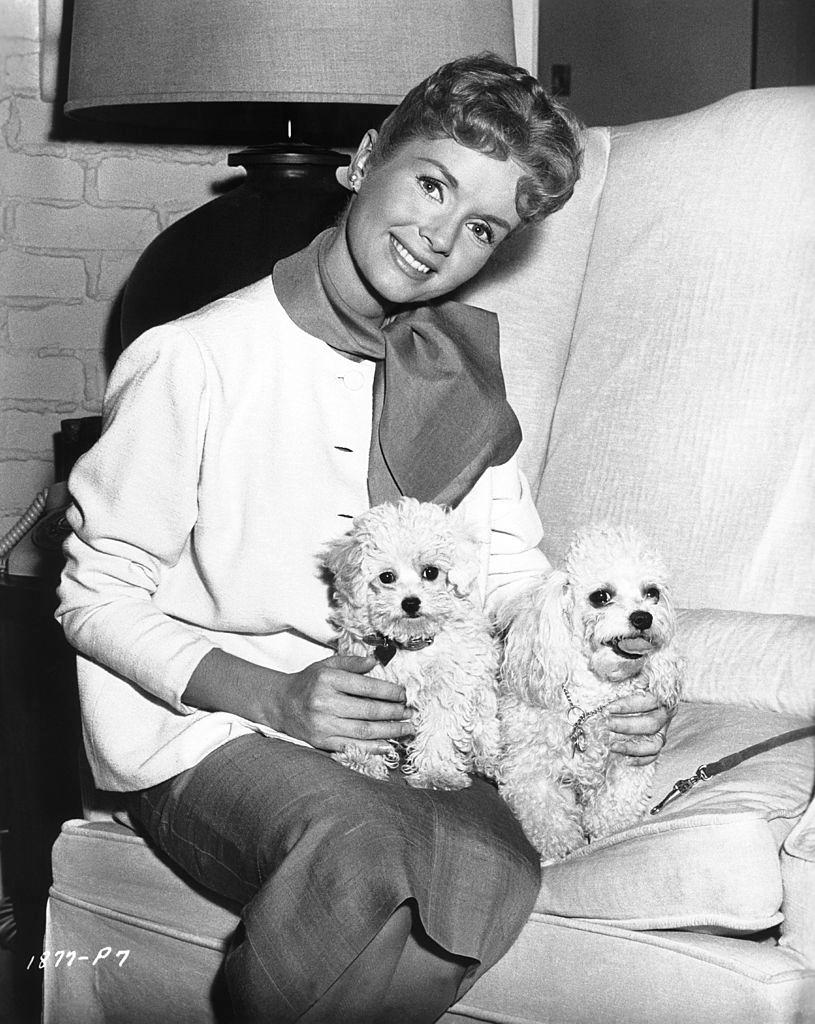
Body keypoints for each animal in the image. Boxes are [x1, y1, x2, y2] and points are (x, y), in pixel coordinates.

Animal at [321, 499, 499, 786]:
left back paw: (488, 761)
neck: (409, 642)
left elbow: (439, 731)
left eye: (431, 572)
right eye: (386, 577)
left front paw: (436, 773)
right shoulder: (371, 684)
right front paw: (363, 760)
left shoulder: (448, 689)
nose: (411, 602)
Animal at [497, 524, 679, 860]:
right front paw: (563, 843)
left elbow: (617, 805)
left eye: (652, 593)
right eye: (601, 597)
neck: (593, 699)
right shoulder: (529, 769)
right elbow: (545, 811)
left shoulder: (628, 760)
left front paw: (611, 834)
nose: (642, 617)